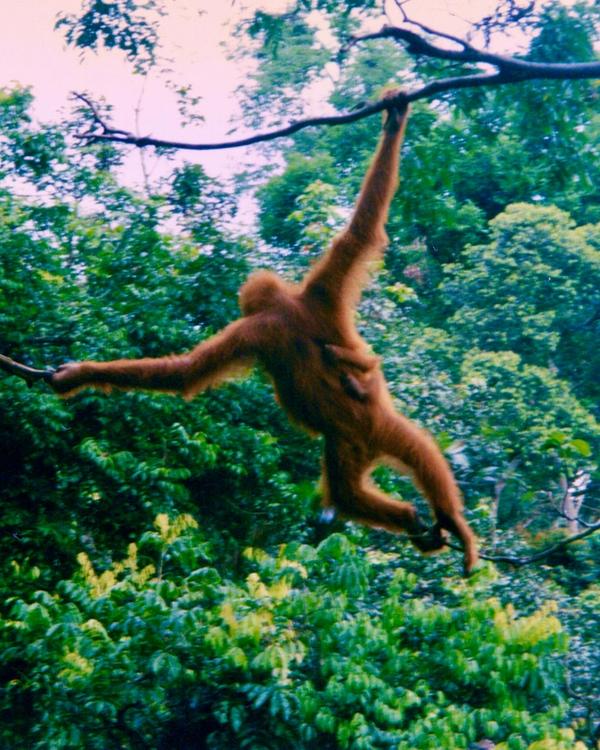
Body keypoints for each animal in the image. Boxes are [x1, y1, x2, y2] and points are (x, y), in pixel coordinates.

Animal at [2, 95, 478, 574]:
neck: (286, 306)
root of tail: (368, 437)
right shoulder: (321, 291)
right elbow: (359, 232)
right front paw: (394, 121)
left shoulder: (259, 325)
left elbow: (188, 372)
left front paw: (75, 376)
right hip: (363, 434)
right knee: (394, 468)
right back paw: (425, 520)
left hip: (360, 429)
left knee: (381, 471)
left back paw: (445, 524)